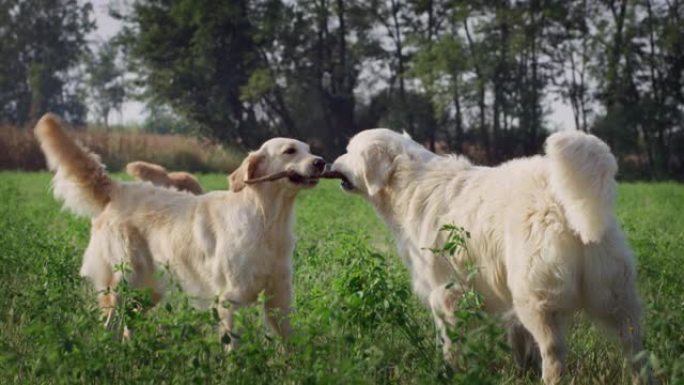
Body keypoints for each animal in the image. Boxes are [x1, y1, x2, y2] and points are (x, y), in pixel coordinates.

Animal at [33, 112, 328, 346]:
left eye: (308, 148)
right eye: (290, 151)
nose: (321, 162)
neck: (267, 219)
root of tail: (118, 188)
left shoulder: (279, 295)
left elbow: (290, 340)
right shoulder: (229, 299)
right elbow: (233, 345)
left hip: (147, 290)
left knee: (128, 324)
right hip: (123, 281)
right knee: (109, 325)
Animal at [332, 129, 648, 384]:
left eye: (349, 149)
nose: (330, 163)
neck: (406, 181)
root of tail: (558, 201)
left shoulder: (446, 293)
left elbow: (450, 344)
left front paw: (451, 373)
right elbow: (519, 341)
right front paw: (522, 371)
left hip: (536, 302)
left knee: (554, 354)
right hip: (615, 299)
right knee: (635, 348)